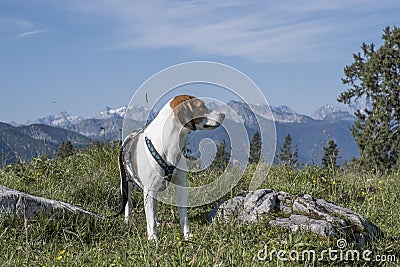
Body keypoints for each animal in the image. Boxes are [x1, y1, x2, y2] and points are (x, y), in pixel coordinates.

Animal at [119, 96, 225, 241]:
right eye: (202, 106)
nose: (223, 114)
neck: (168, 145)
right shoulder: (149, 190)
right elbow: (150, 219)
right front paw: (153, 239)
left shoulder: (181, 185)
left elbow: (183, 216)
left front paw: (187, 235)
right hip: (125, 183)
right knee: (128, 203)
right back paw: (127, 220)